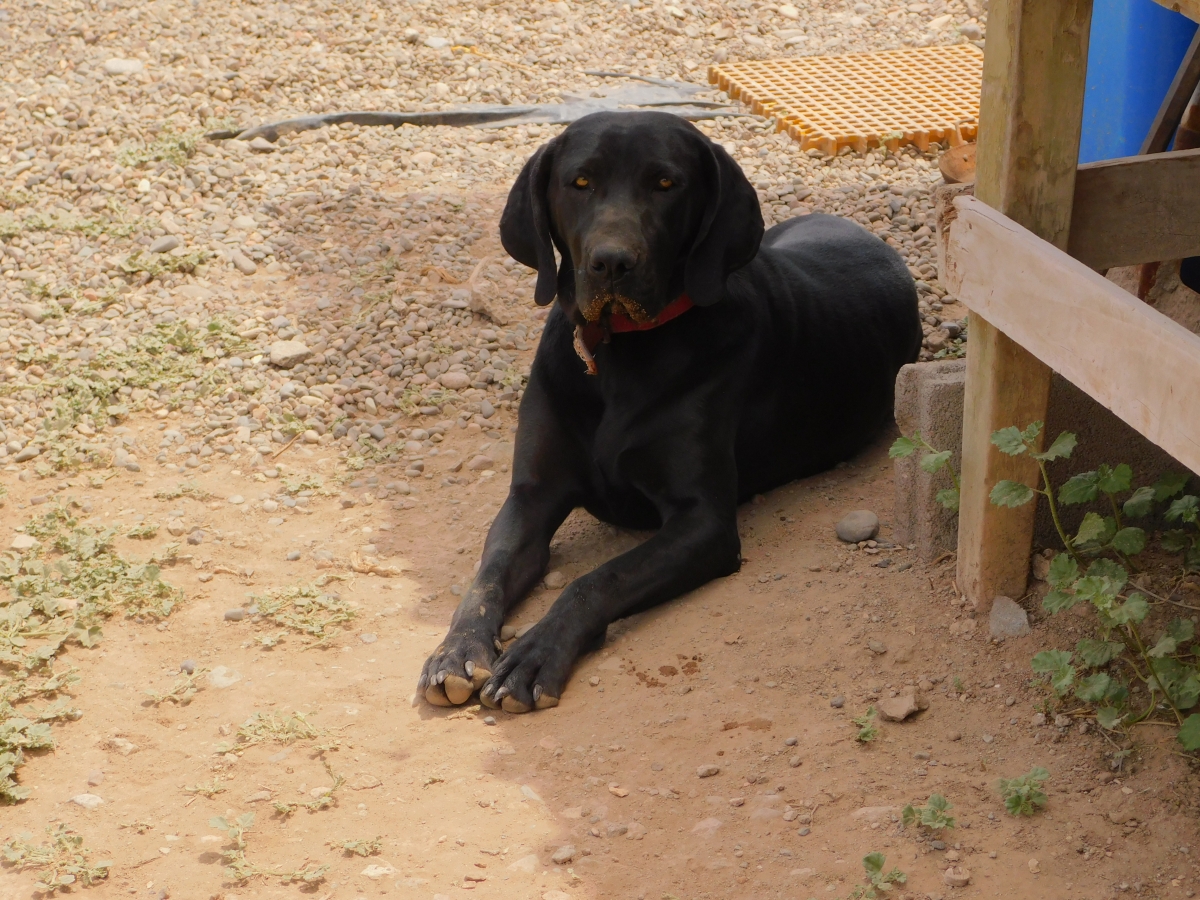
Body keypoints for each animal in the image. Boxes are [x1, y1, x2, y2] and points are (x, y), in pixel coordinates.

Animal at [420, 111, 916, 710]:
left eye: (665, 183)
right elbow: (486, 575)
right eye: (580, 182)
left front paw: (534, 654)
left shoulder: (702, 522)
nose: (611, 263)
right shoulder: (531, 497)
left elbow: (599, 579)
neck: (617, 355)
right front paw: (457, 650)